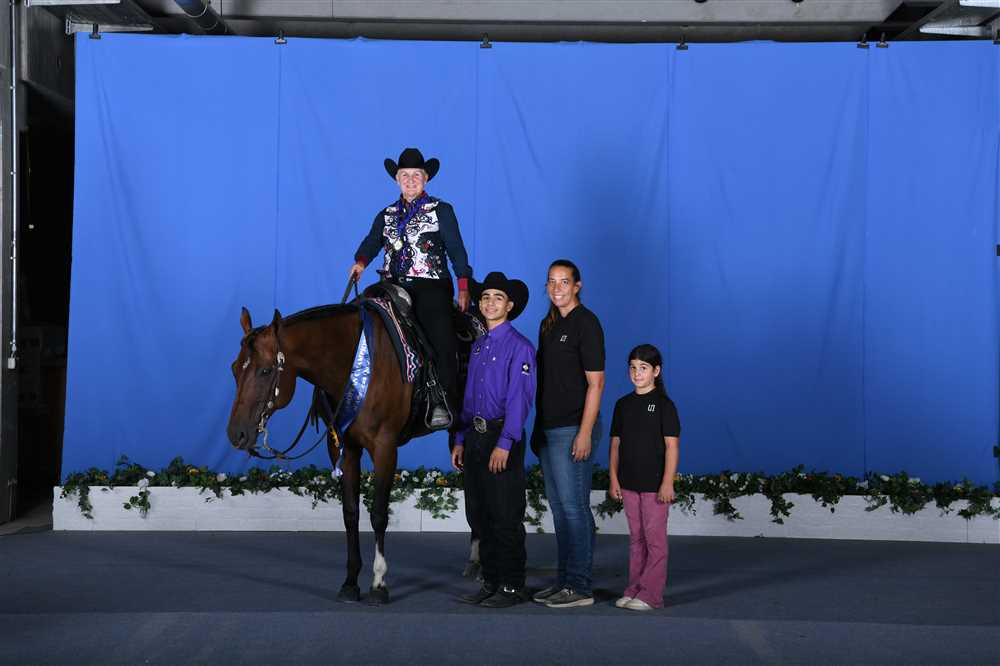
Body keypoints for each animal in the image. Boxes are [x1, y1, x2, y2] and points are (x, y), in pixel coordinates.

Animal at [226, 301, 476, 604]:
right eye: (234, 369)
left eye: (264, 371)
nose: (236, 434)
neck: (352, 364)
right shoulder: (342, 448)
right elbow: (350, 513)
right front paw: (350, 582)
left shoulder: (384, 448)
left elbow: (378, 513)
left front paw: (379, 583)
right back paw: (475, 562)